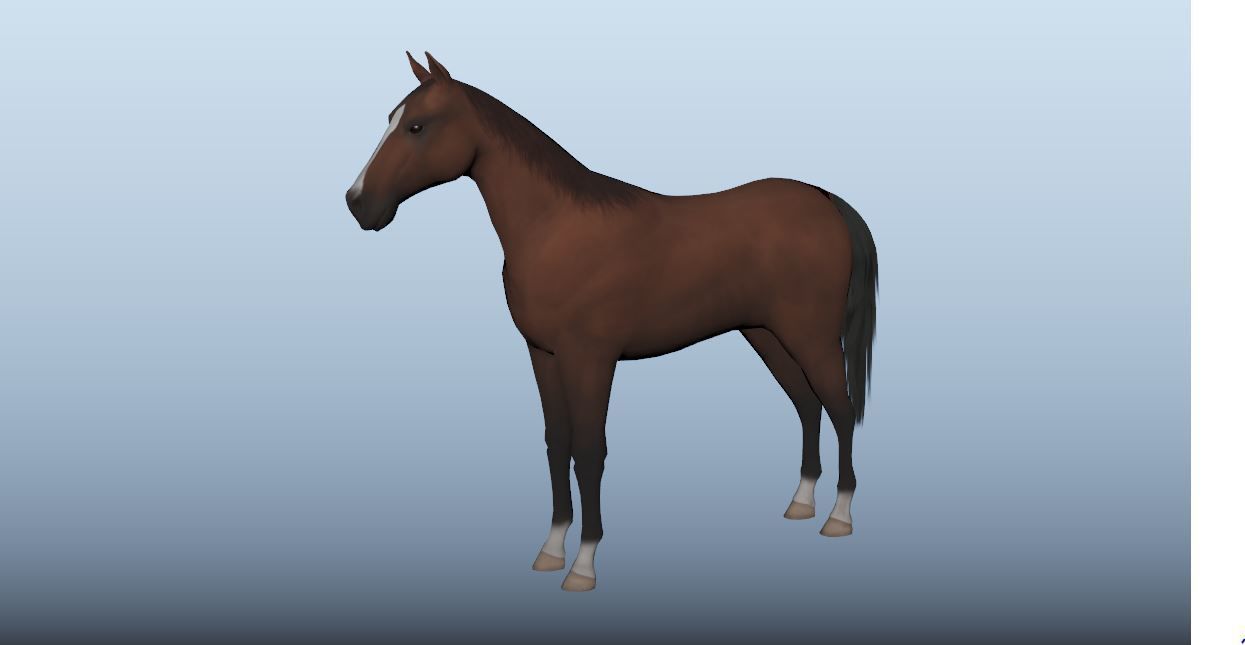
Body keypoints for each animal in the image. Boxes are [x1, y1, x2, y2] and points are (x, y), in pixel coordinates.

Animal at [345, 51, 878, 592]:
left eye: (416, 126)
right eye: (391, 119)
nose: (358, 202)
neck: (555, 228)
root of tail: (824, 199)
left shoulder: (591, 358)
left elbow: (589, 451)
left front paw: (583, 564)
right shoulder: (544, 354)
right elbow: (557, 444)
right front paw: (551, 549)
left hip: (810, 336)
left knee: (839, 407)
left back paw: (839, 517)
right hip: (767, 334)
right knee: (808, 406)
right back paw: (801, 504)